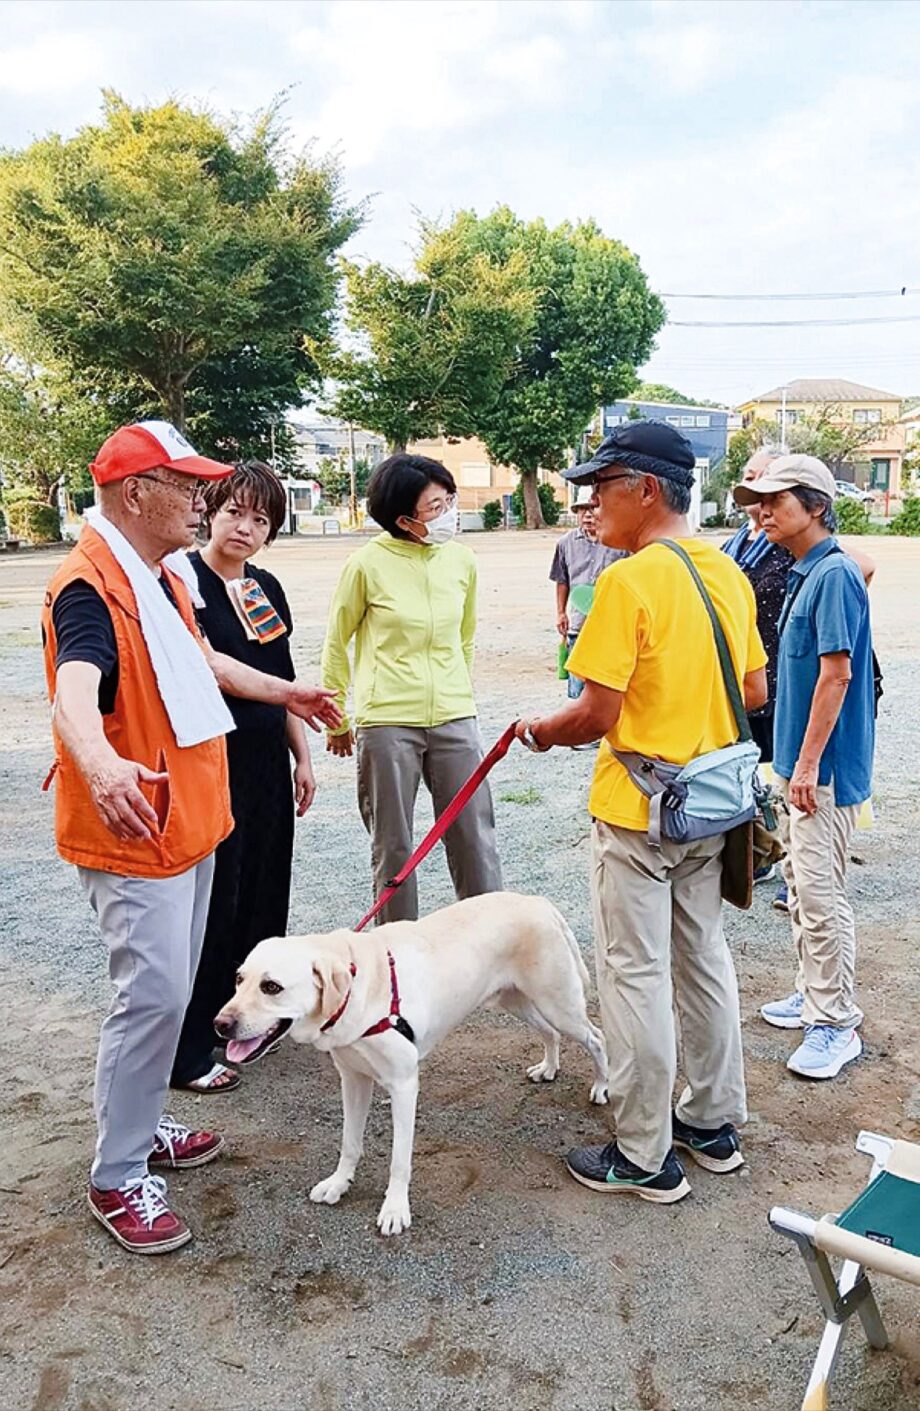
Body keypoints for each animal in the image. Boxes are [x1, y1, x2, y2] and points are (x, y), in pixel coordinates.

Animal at [213, 891, 606, 1236]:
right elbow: (349, 1142)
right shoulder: (353, 1080)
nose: (219, 1024)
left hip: (558, 1003)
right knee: (550, 1033)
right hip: (515, 1001)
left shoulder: (404, 1085)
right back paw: (549, 1068)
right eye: (239, 979)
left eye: (272, 987)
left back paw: (602, 1087)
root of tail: (536, 901)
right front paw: (339, 1183)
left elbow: (399, 1160)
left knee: (596, 1038)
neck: (358, 988)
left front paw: (395, 1210)